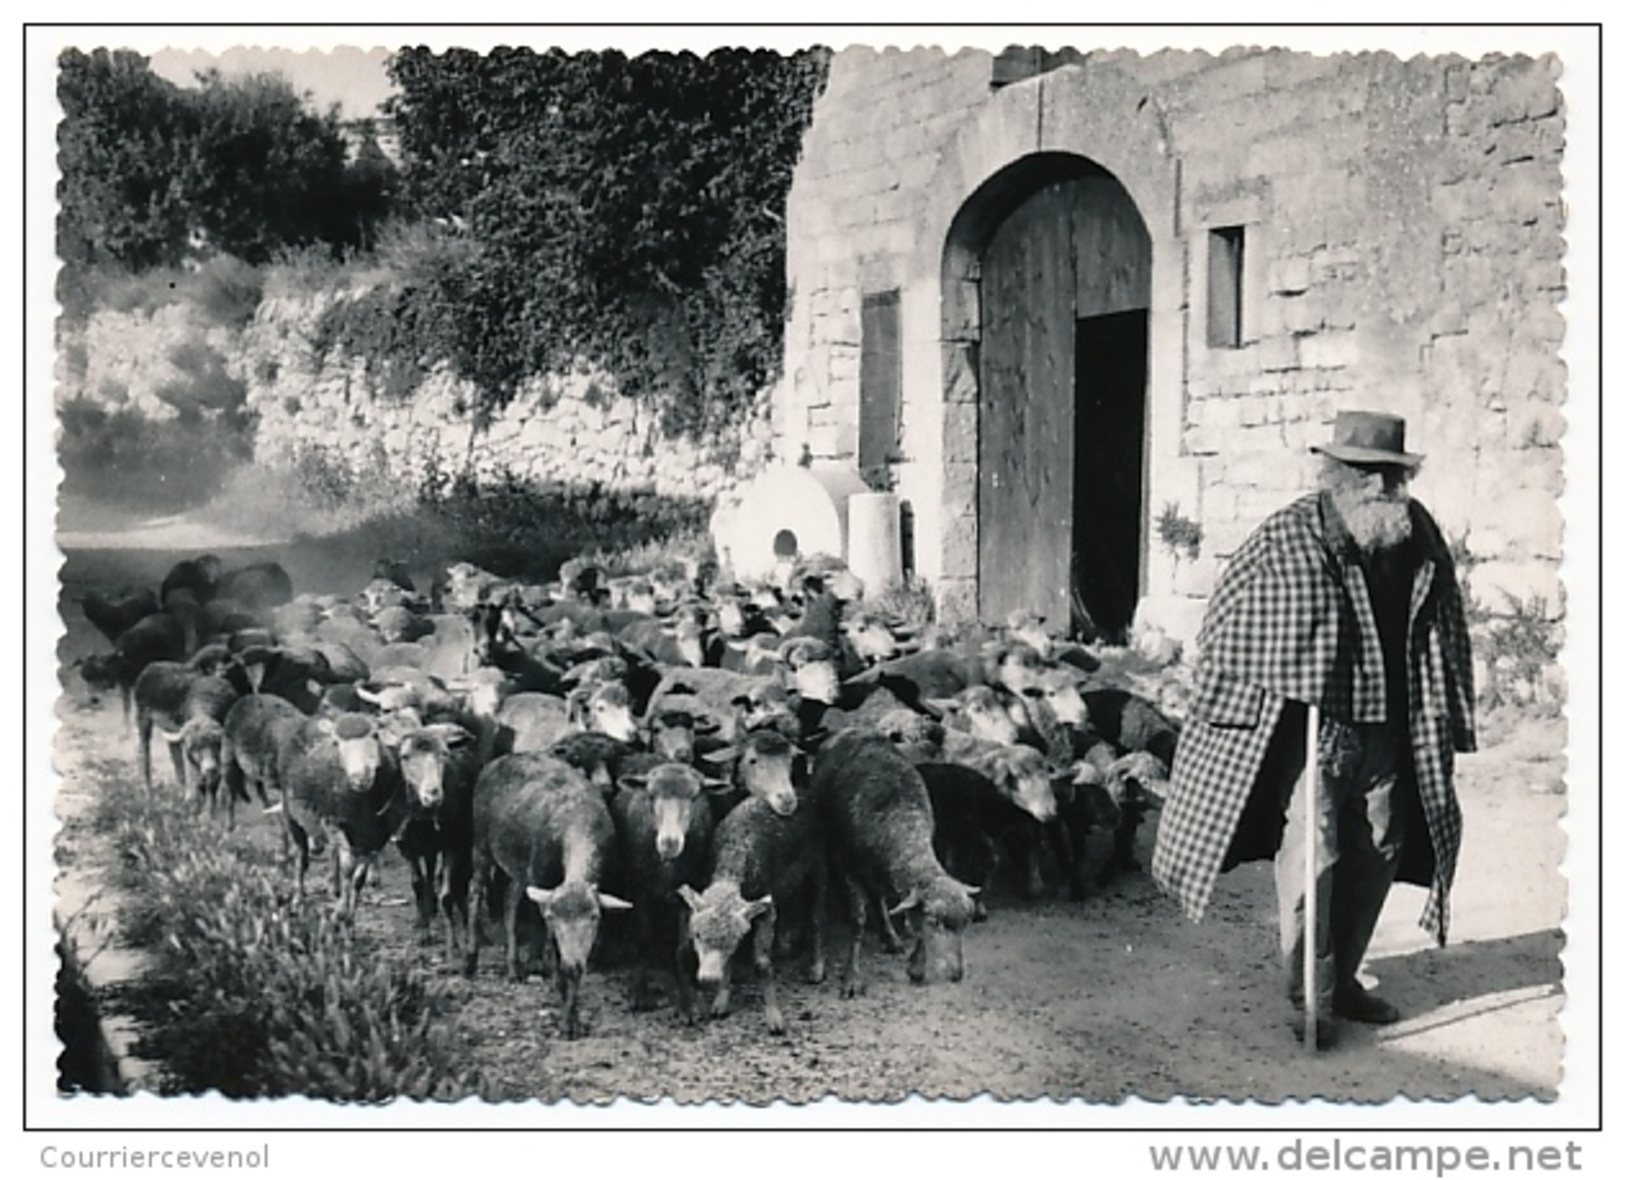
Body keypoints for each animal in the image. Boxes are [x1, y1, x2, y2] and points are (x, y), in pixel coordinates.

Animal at [464, 754, 633, 1040]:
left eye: (595, 916)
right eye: (554, 916)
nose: (573, 964)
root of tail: (497, 760)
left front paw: (572, 1018)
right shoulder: (543, 887)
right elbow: (554, 951)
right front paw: (565, 1012)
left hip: (520, 868)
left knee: (510, 903)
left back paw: (514, 968)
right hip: (481, 843)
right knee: (474, 891)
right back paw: (470, 961)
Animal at [809, 731, 975, 1001]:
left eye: (965, 923)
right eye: (935, 922)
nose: (957, 975)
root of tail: (845, 731)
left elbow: (909, 914)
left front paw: (916, 967)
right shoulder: (848, 865)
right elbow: (858, 920)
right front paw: (851, 978)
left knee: (878, 896)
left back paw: (890, 937)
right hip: (822, 839)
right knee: (819, 895)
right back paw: (816, 963)